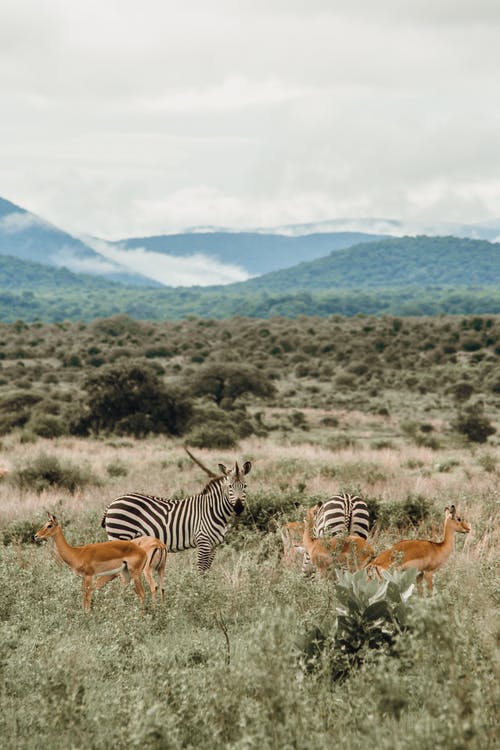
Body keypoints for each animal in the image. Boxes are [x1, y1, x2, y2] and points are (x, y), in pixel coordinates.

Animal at [101, 458, 252, 576]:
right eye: (230, 486)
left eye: (245, 486)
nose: (239, 508)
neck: (213, 510)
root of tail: (113, 502)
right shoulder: (203, 541)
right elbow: (201, 571)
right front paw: (201, 590)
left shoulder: (214, 546)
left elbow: (207, 570)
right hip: (120, 535)